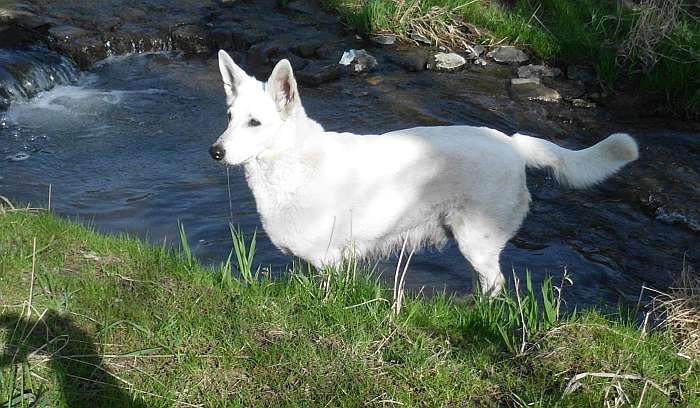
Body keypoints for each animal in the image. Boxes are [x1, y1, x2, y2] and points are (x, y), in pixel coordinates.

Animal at [211, 50, 636, 296]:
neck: (292, 163)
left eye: (255, 123)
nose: (215, 152)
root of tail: (512, 143)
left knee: (495, 284)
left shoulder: (331, 263)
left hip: (477, 241)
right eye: (229, 118)